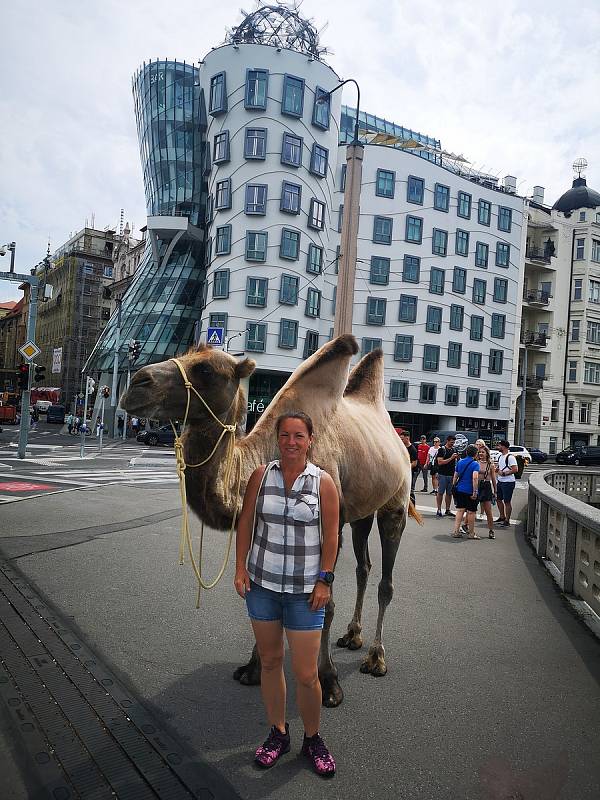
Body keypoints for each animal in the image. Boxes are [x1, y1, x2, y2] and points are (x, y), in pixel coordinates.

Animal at [120, 334, 422, 708]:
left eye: (205, 369)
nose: (136, 383)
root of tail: (400, 441)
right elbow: (262, 594)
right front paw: (253, 667)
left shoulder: (329, 524)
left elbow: (324, 605)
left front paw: (329, 682)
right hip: (362, 512)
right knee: (363, 568)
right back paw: (353, 636)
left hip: (395, 502)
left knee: (385, 581)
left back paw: (377, 658)